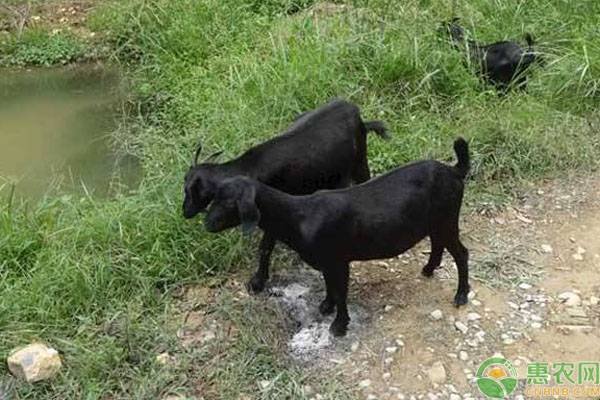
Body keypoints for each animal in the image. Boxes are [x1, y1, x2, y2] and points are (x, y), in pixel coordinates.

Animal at [183, 99, 390, 294]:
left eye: (190, 190)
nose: (185, 211)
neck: (249, 168)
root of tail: (354, 111)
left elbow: (265, 247)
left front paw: (257, 282)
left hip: (360, 162)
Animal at [204, 139, 472, 336]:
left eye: (229, 202)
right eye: (215, 197)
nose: (207, 223)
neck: (299, 216)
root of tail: (453, 170)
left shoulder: (338, 260)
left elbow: (341, 292)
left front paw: (339, 325)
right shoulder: (326, 261)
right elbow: (329, 285)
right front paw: (326, 306)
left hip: (447, 219)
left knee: (461, 253)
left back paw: (460, 295)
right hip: (436, 222)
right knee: (438, 244)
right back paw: (429, 269)